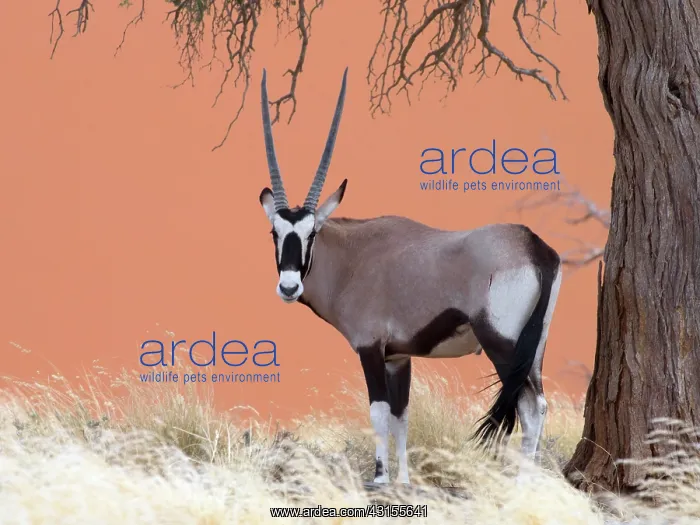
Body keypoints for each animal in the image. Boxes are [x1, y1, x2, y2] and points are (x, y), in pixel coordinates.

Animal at [257, 67, 562, 485]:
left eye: (311, 233)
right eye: (274, 232)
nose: (289, 286)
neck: (353, 257)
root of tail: (533, 246)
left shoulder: (371, 348)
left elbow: (379, 413)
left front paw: (381, 479)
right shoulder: (398, 356)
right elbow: (402, 416)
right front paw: (403, 480)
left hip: (502, 343)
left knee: (530, 408)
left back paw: (521, 486)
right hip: (536, 347)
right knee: (541, 406)